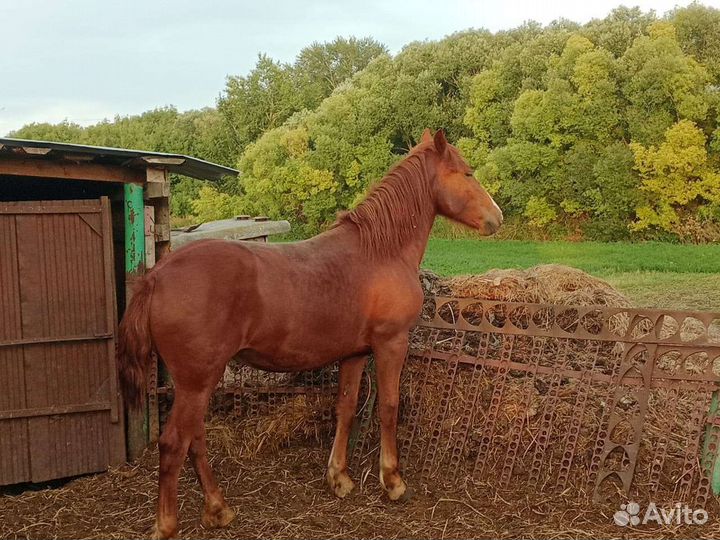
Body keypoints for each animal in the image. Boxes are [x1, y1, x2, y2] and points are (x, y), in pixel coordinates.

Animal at [117, 129, 503, 539]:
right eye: (467, 173)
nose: (497, 217)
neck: (381, 251)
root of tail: (157, 275)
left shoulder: (354, 353)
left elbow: (346, 408)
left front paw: (339, 478)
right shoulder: (391, 344)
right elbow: (389, 407)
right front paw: (393, 481)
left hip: (198, 382)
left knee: (196, 439)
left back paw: (219, 509)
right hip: (197, 381)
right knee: (175, 443)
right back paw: (168, 524)